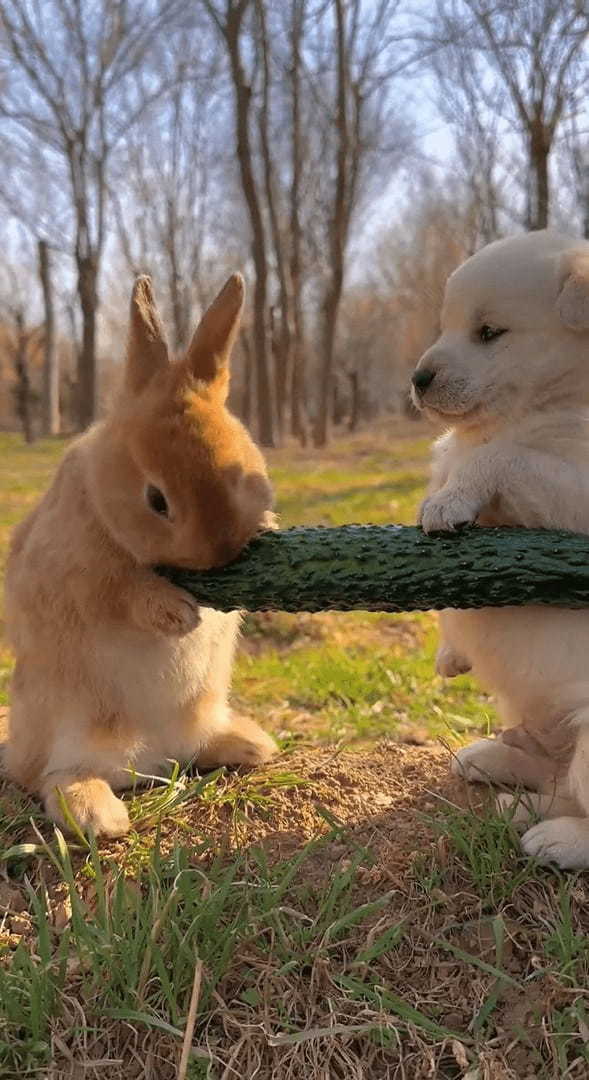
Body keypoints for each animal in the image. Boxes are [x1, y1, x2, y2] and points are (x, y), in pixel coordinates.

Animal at [3, 270, 276, 833]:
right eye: (157, 500)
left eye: (240, 471)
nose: (217, 551)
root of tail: (152, 762)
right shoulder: (78, 574)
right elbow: (121, 591)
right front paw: (178, 615)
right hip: (73, 725)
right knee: (55, 778)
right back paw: (98, 815)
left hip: (203, 703)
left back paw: (251, 744)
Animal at [410, 227, 589, 868]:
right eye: (444, 325)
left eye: (489, 332)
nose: (417, 379)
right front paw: (449, 654)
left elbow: (504, 455)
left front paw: (451, 501)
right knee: (554, 777)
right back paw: (494, 766)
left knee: (577, 800)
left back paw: (552, 837)